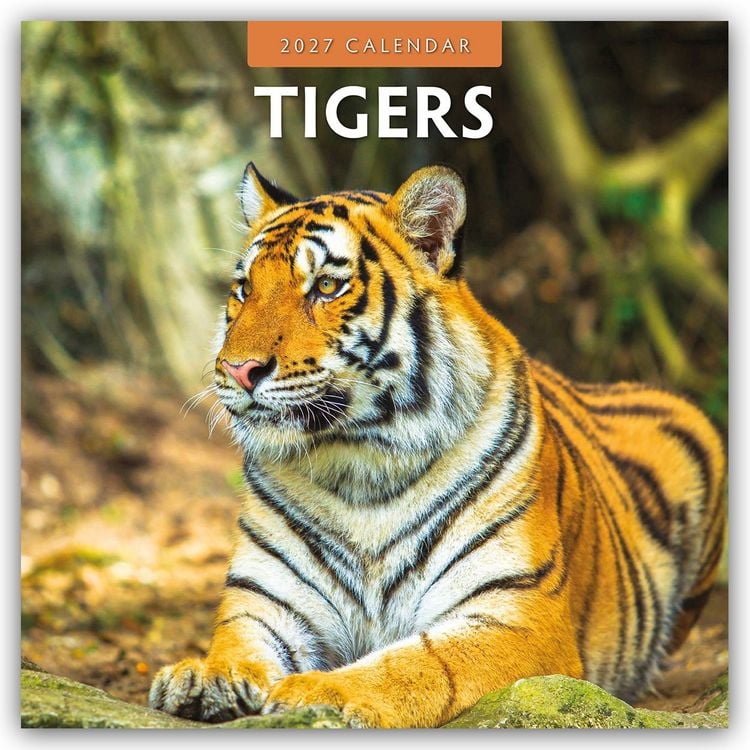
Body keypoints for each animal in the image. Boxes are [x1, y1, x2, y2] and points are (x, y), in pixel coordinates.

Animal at [148, 163, 726, 728]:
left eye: (327, 286)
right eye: (244, 289)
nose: (237, 370)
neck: (358, 463)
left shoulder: (516, 615)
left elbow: (415, 663)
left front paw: (318, 692)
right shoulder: (266, 600)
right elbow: (238, 644)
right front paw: (201, 675)